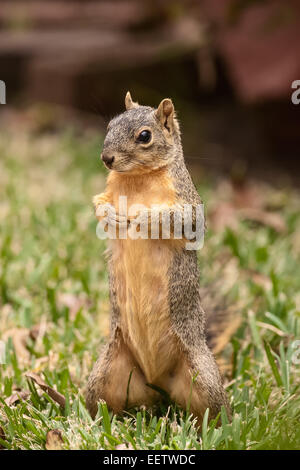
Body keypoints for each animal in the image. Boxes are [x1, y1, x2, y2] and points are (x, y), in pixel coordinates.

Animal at [85, 91, 231, 422]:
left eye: (145, 136)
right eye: (110, 125)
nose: (106, 158)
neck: (138, 178)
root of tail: (157, 381)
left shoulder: (187, 203)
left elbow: (186, 220)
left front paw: (143, 215)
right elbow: (99, 205)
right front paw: (110, 214)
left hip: (203, 378)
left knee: (215, 412)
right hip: (105, 374)